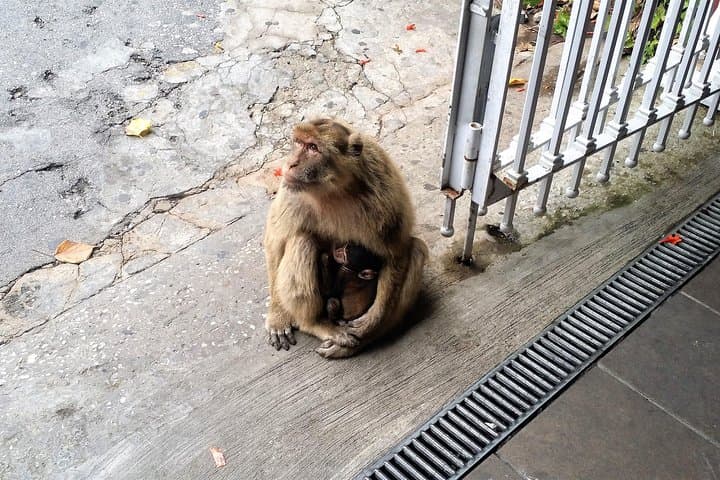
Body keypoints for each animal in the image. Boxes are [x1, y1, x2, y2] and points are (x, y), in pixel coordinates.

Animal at [263, 118, 428, 358]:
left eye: (313, 148)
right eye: (298, 143)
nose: (291, 163)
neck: (333, 189)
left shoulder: (384, 195)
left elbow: (395, 252)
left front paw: (372, 322)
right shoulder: (291, 193)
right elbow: (276, 243)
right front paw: (277, 316)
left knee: (416, 249)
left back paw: (367, 338)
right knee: (303, 241)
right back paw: (314, 323)